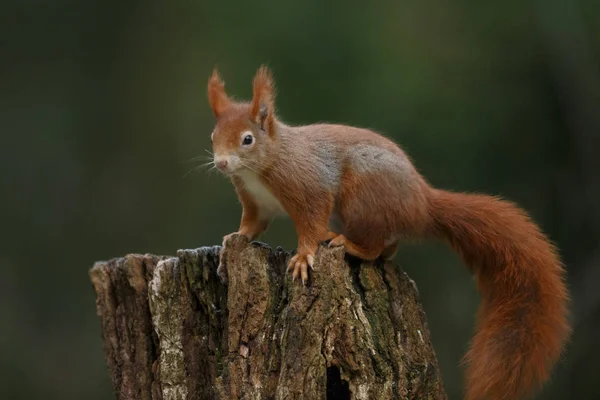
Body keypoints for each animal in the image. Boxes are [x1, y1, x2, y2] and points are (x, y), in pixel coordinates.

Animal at [209, 65, 568, 400]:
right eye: (213, 136)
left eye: (247, 139)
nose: (221, 164)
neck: (263, 164)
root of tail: (422, 204)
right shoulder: (256, 202)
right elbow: (252, 226)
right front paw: (231, 242)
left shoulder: (309, 187)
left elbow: (311, 222)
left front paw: (303, 256)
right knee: (390, 246)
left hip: (362, 198)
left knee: (374, 243)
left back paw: (349, 244)